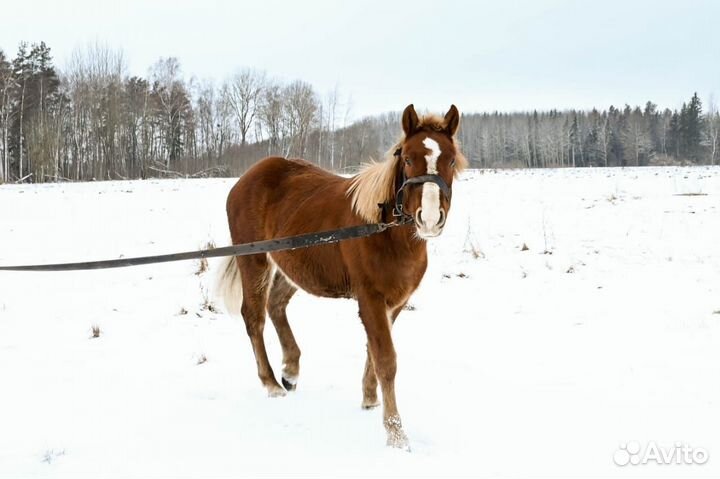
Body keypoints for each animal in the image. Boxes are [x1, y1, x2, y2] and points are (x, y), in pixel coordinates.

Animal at [219, 104, 467, 448]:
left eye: (452, 160)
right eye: (407, 158)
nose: (429, 219)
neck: (384, 230)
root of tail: (248, 177)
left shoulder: (394, 302)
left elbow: (374, 352)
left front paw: (370, 398)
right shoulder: (370, 299)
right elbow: (386, 359)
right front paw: (395, 433)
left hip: (291, 266)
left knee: (276, 305)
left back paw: (290, 370)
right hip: (254, 262)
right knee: (254, 317)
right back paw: (271, 384)